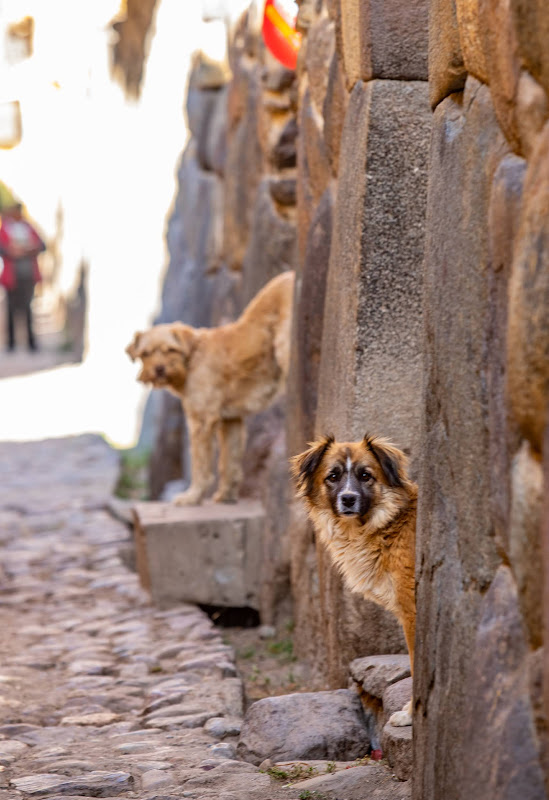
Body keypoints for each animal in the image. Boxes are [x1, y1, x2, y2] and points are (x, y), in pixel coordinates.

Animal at [126, 272, 294, 504]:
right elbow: (229, 461)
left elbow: (201, 463)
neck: (192, 357)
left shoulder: (201, 420)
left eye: (170, 350)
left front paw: (192, 497)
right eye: (145, 353)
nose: (159, 369)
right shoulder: (231, 420)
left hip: (284, 348)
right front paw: (226, 495)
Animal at [292, 434, 416, 728]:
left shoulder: (413, 612)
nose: (348, 499)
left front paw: (411, 714)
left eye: (365, 475)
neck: (388, 523)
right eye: (333, 476)